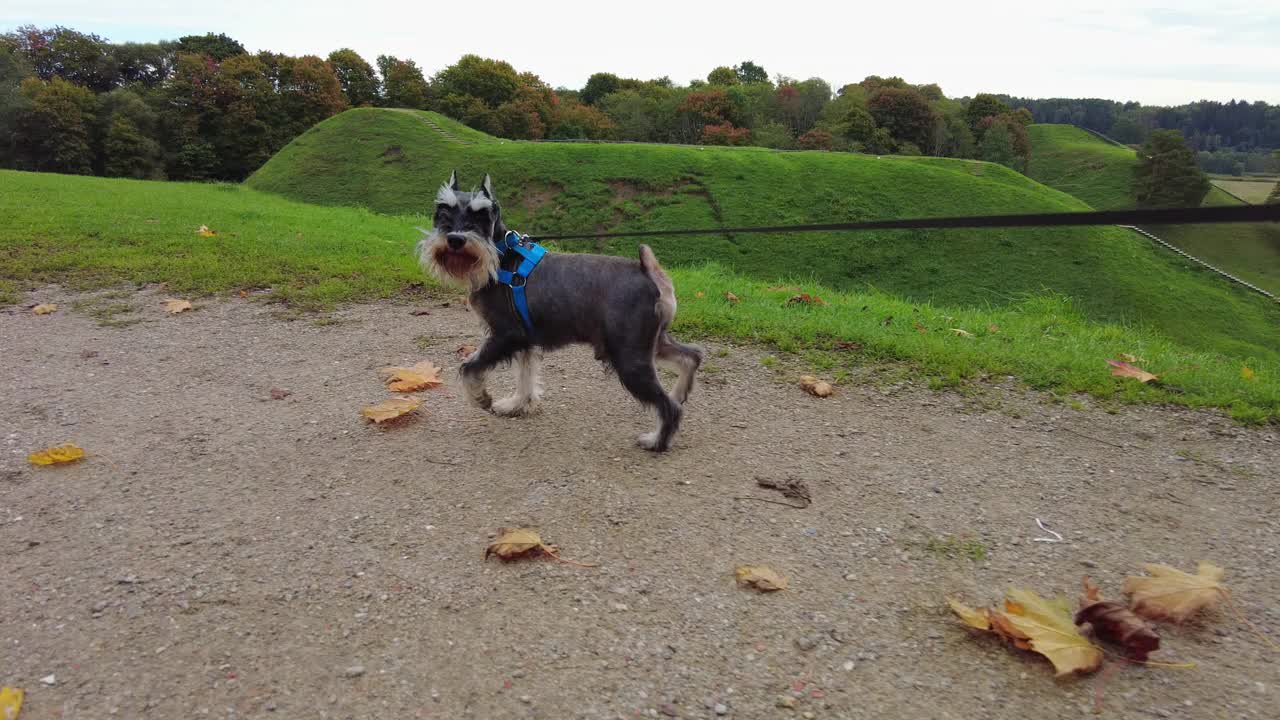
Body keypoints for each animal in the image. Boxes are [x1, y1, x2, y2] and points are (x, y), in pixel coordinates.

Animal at [417, 169, 701, 448]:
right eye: (443, 211)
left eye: (481, 215)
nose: (455, 239)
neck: (501, 258)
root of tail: (650, 273)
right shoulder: (524, 341)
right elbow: (525, 375)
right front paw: (517, 404)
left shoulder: (505, 335)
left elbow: (470, 367)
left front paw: (480, 398)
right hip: (649, 344)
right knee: (691, 356)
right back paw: (678, 393)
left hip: (629, 356)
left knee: (669, 406)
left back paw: (656, 440)